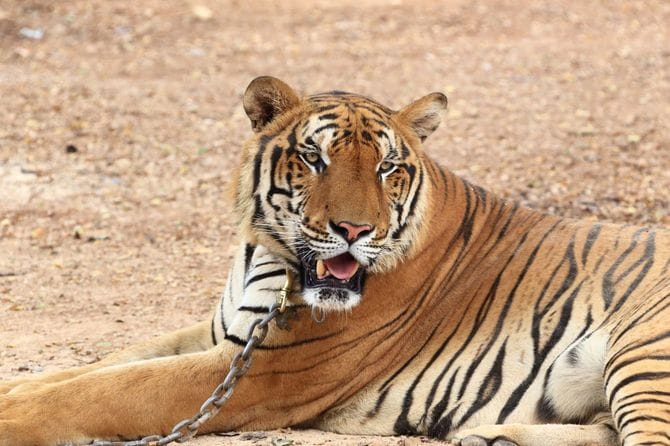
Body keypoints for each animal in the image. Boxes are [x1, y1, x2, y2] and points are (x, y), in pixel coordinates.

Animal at [1, 76, 669, 446]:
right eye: (314, 159)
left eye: (387, 167)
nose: (354, 230)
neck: (267, 255)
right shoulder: (224, 335)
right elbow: (95, 367)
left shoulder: (265, 372)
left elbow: (99, 391)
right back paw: (490, 438)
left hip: (643, 352)